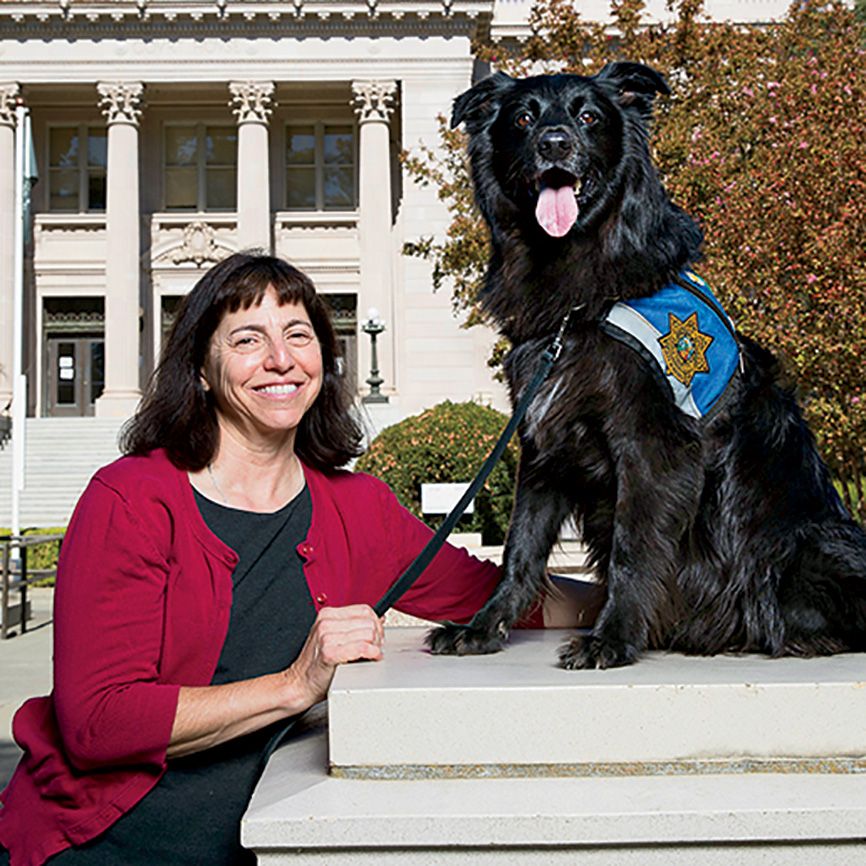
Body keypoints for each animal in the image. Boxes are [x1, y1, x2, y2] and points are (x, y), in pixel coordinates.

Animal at [426, 64, 864, 668]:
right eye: (522, 118)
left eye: (589, 116)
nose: (554, 143)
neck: (579, 302)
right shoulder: (543, 444)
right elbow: (520, 549)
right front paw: (482, 628)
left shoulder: (651, 446)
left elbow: (633, 549)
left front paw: (613, 638)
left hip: (809, 550)